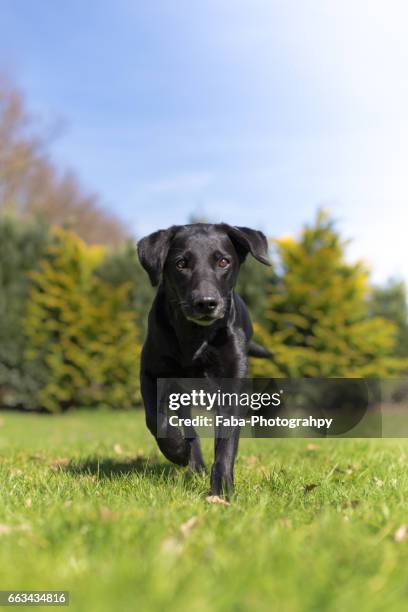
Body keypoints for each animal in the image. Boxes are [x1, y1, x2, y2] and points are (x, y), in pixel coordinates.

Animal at [137, 222, 270, 494]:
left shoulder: (232, 386)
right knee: (188, 428)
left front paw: (222, 489)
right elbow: (156, 419)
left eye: (223, 261)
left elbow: (226, 443)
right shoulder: (150, 373)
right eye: (181, 263)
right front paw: (177, 451)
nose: (206, 303)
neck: (196, 336)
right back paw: (192, 461)